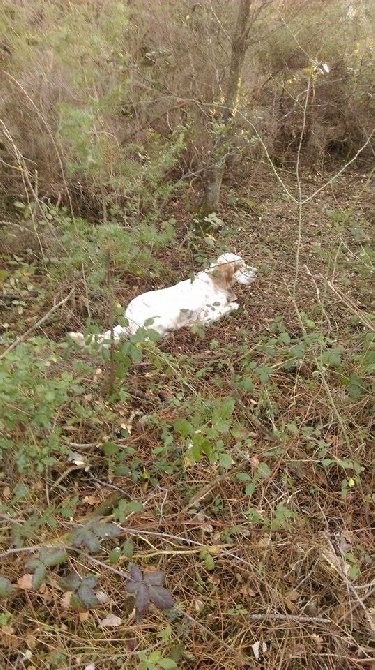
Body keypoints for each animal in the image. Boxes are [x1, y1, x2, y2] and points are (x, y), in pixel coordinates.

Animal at [69, 251, 258, 346]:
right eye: (240, 267)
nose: (256, 272)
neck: (214, 281)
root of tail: (127, 320)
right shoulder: (206, 316)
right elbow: (231, 306)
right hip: (165, 320)